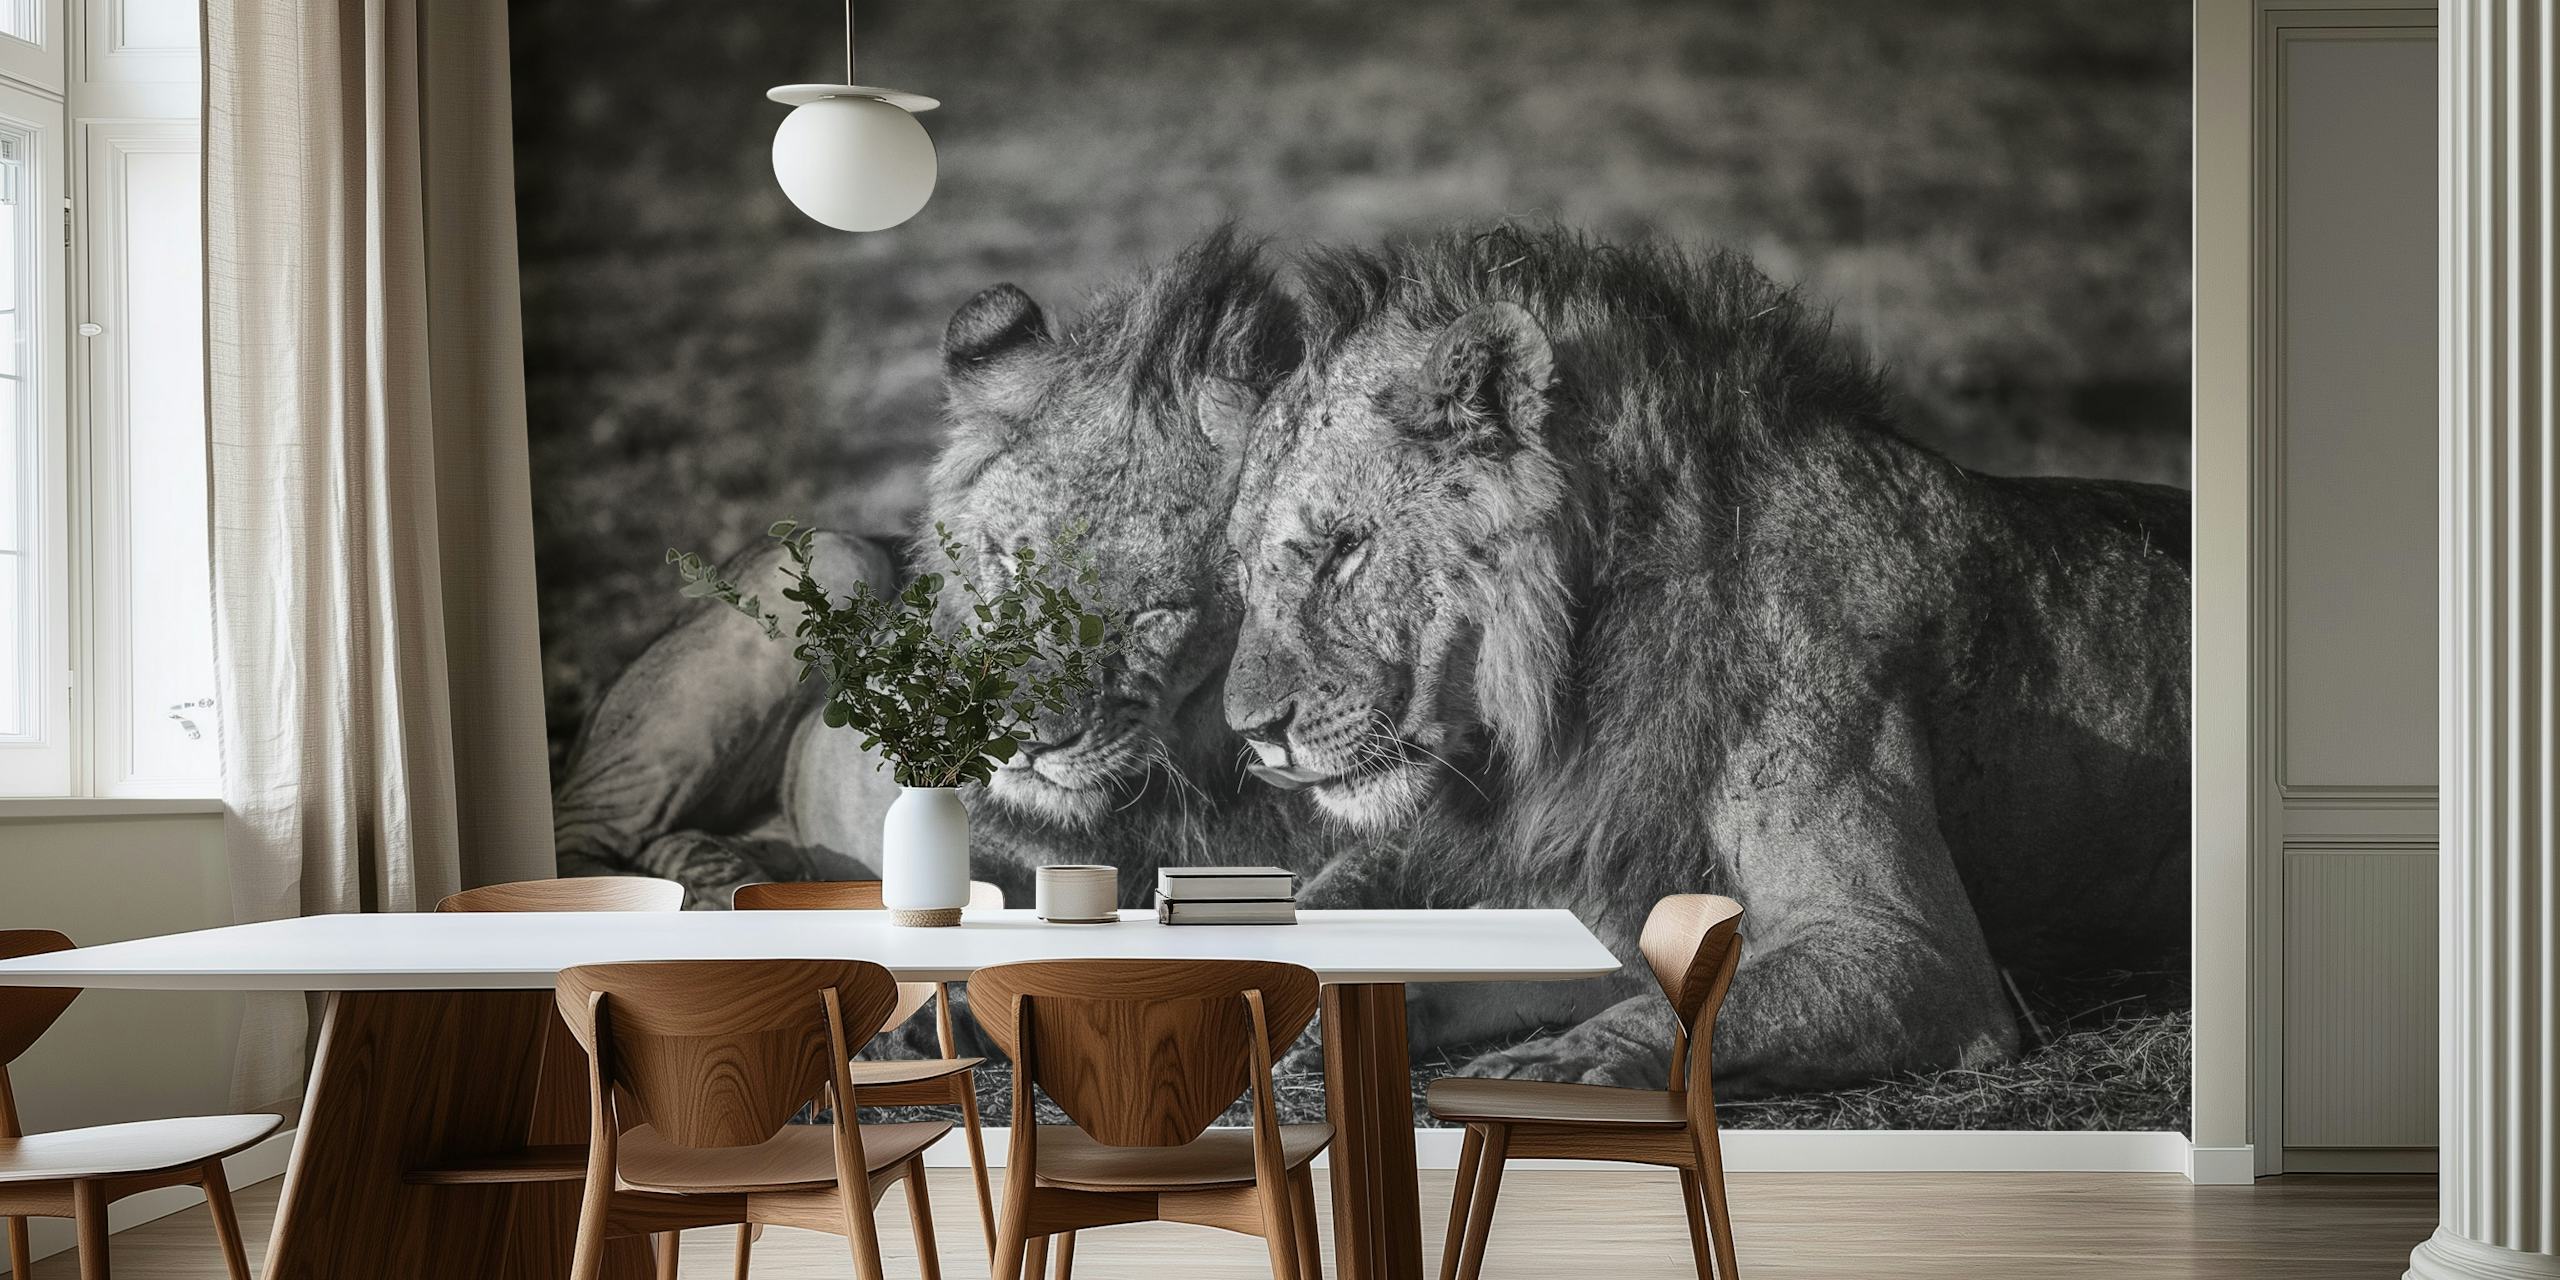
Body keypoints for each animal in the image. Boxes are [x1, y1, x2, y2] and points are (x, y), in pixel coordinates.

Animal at [1223, 224, 2191, 1096]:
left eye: (1344, 549)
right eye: (1240, 566)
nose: (1251, 730)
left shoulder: (1909, 949)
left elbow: (1688, 1000)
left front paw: (1553, 1065)